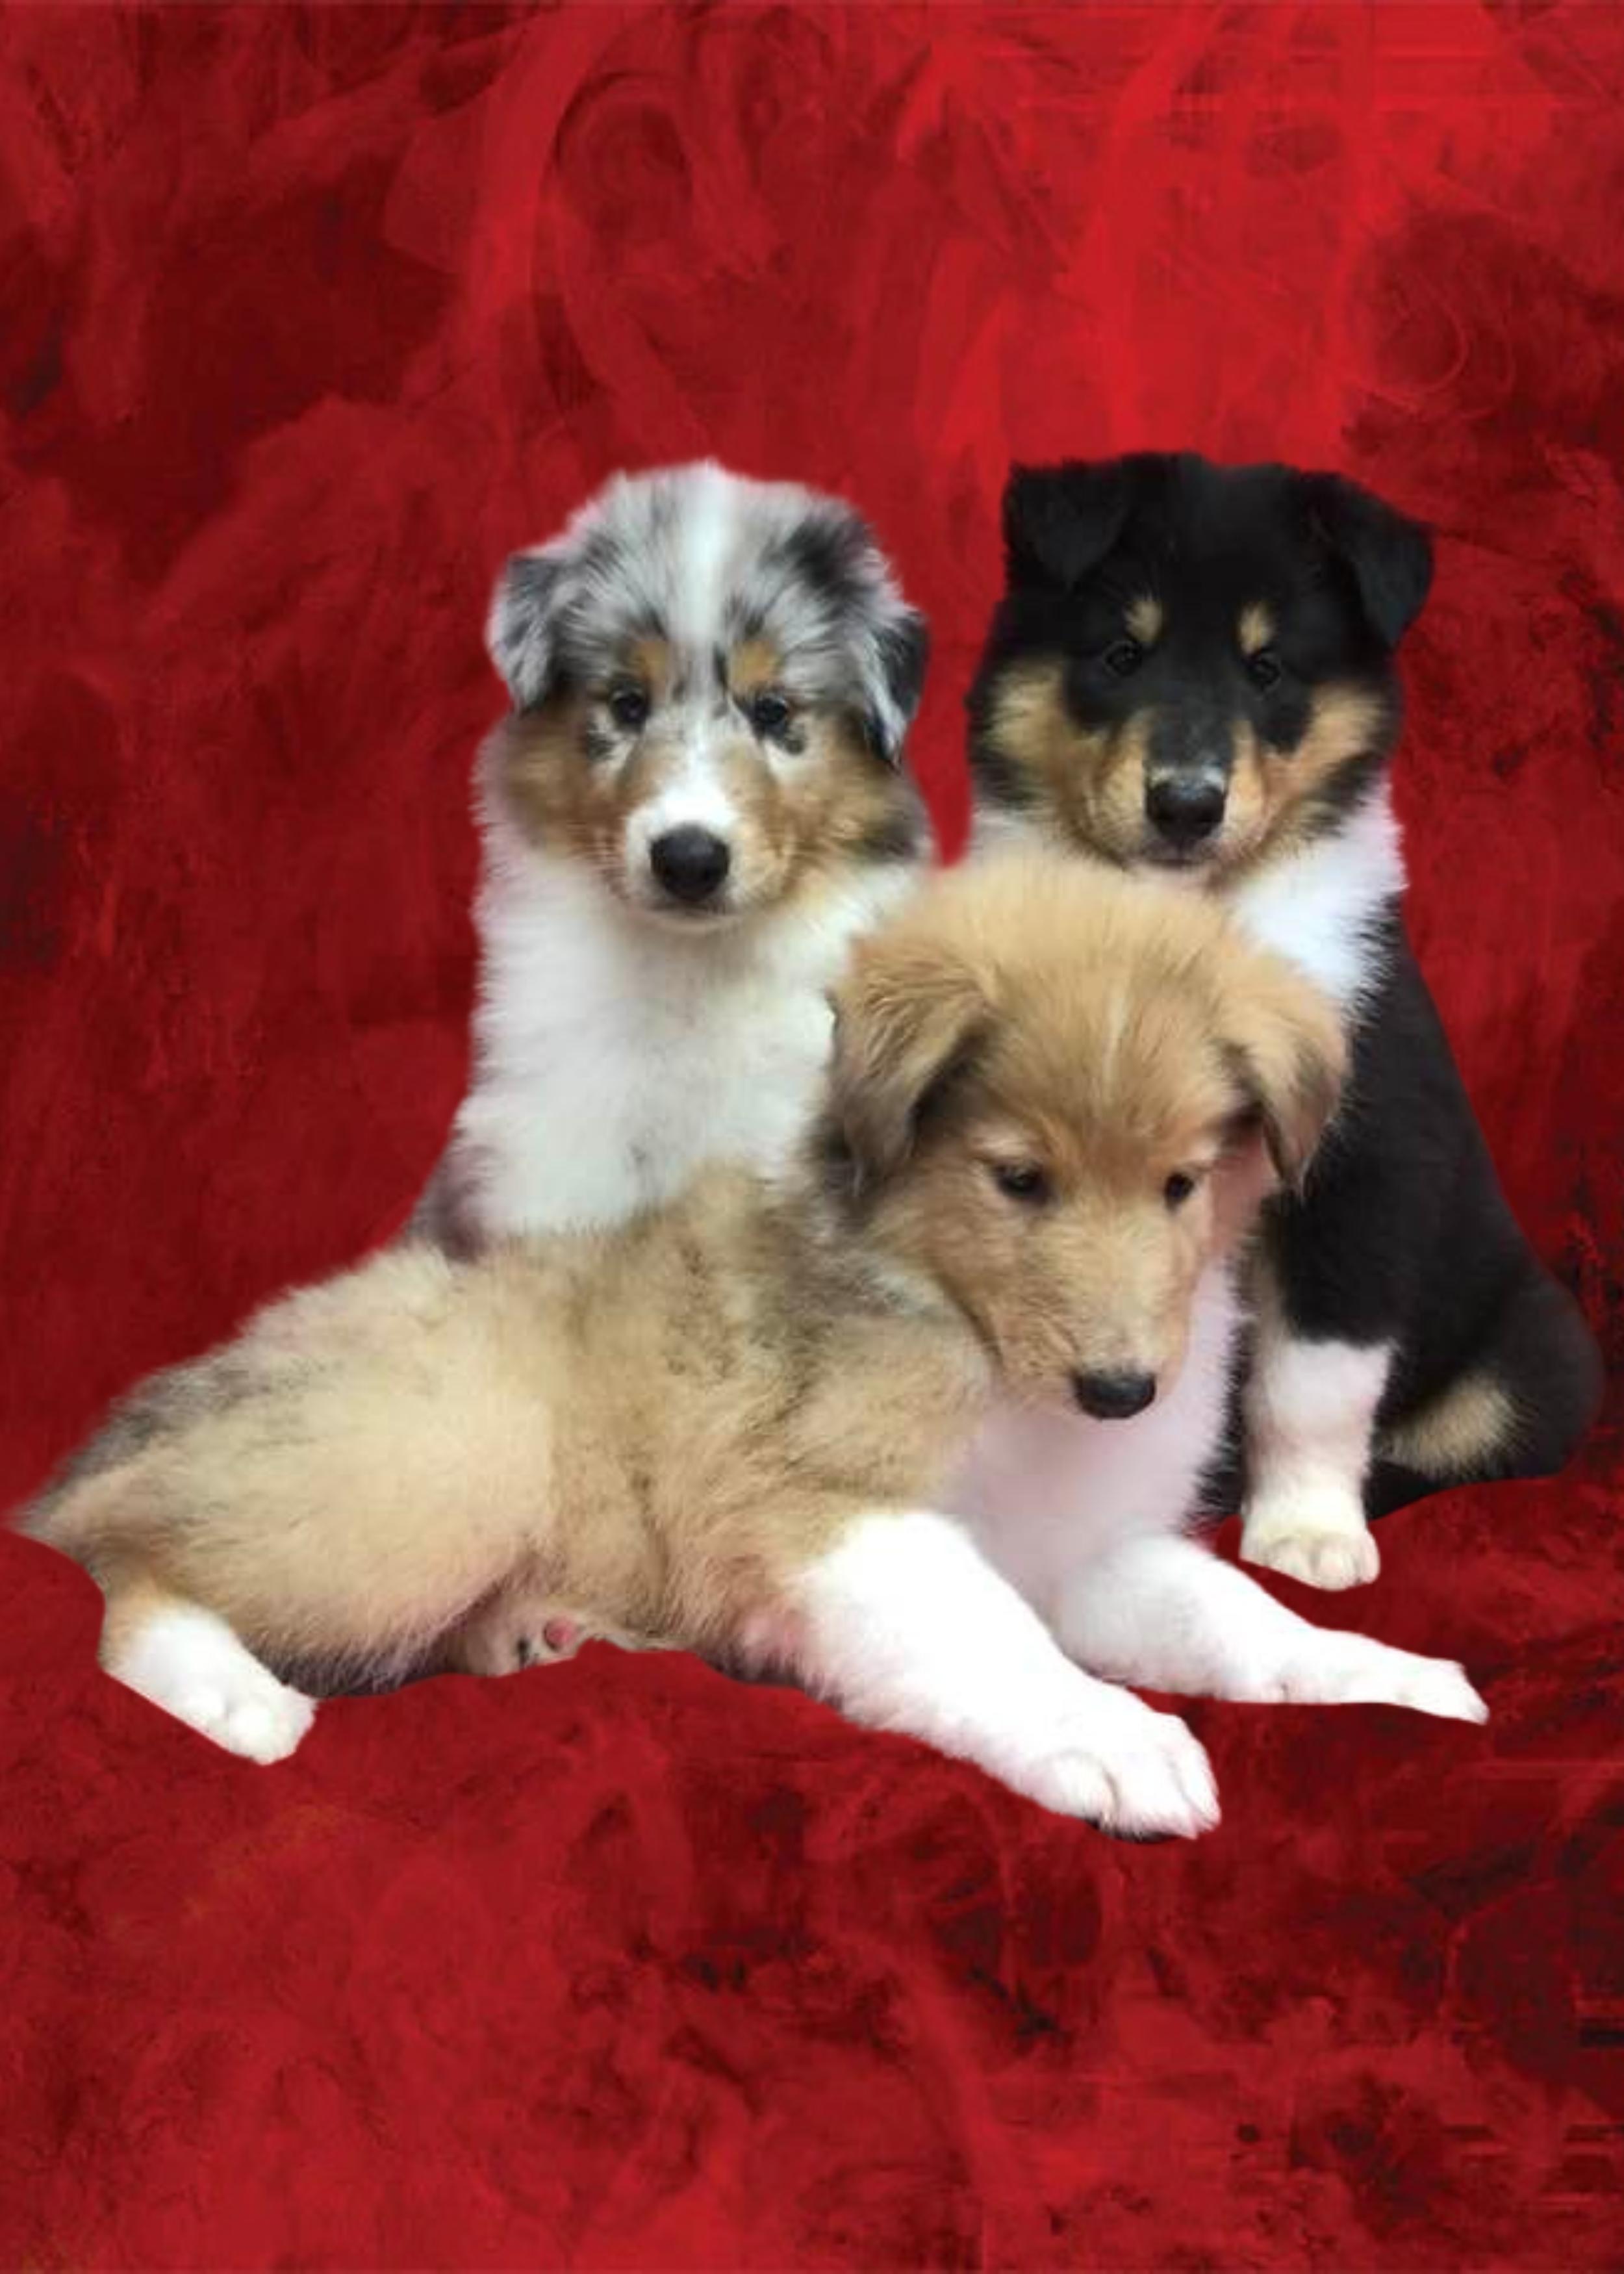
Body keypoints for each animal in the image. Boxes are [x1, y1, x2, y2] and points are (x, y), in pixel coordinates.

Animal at [23, 858, 1488, 1839]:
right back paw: (236, 1696)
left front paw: (1394, 1675)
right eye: (1019, 1180)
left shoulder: (1083, 1551)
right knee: (125, 1571)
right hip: (434, 1467)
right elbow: (995, 1639)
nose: (1122, 1392)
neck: (966, 1332)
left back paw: (532, 1631)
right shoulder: (822, 1509)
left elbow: (1239, 1618)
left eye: (1182, 1184)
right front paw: (1116, 1739)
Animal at [965, 452, 1603, 1589]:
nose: (1186, 804)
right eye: (1122, 653)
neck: (1186, 914)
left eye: (1268, 670)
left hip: (1526, 1360)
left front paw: (1306, 1535)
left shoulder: (1359, 1172)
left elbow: (1310, 1380)